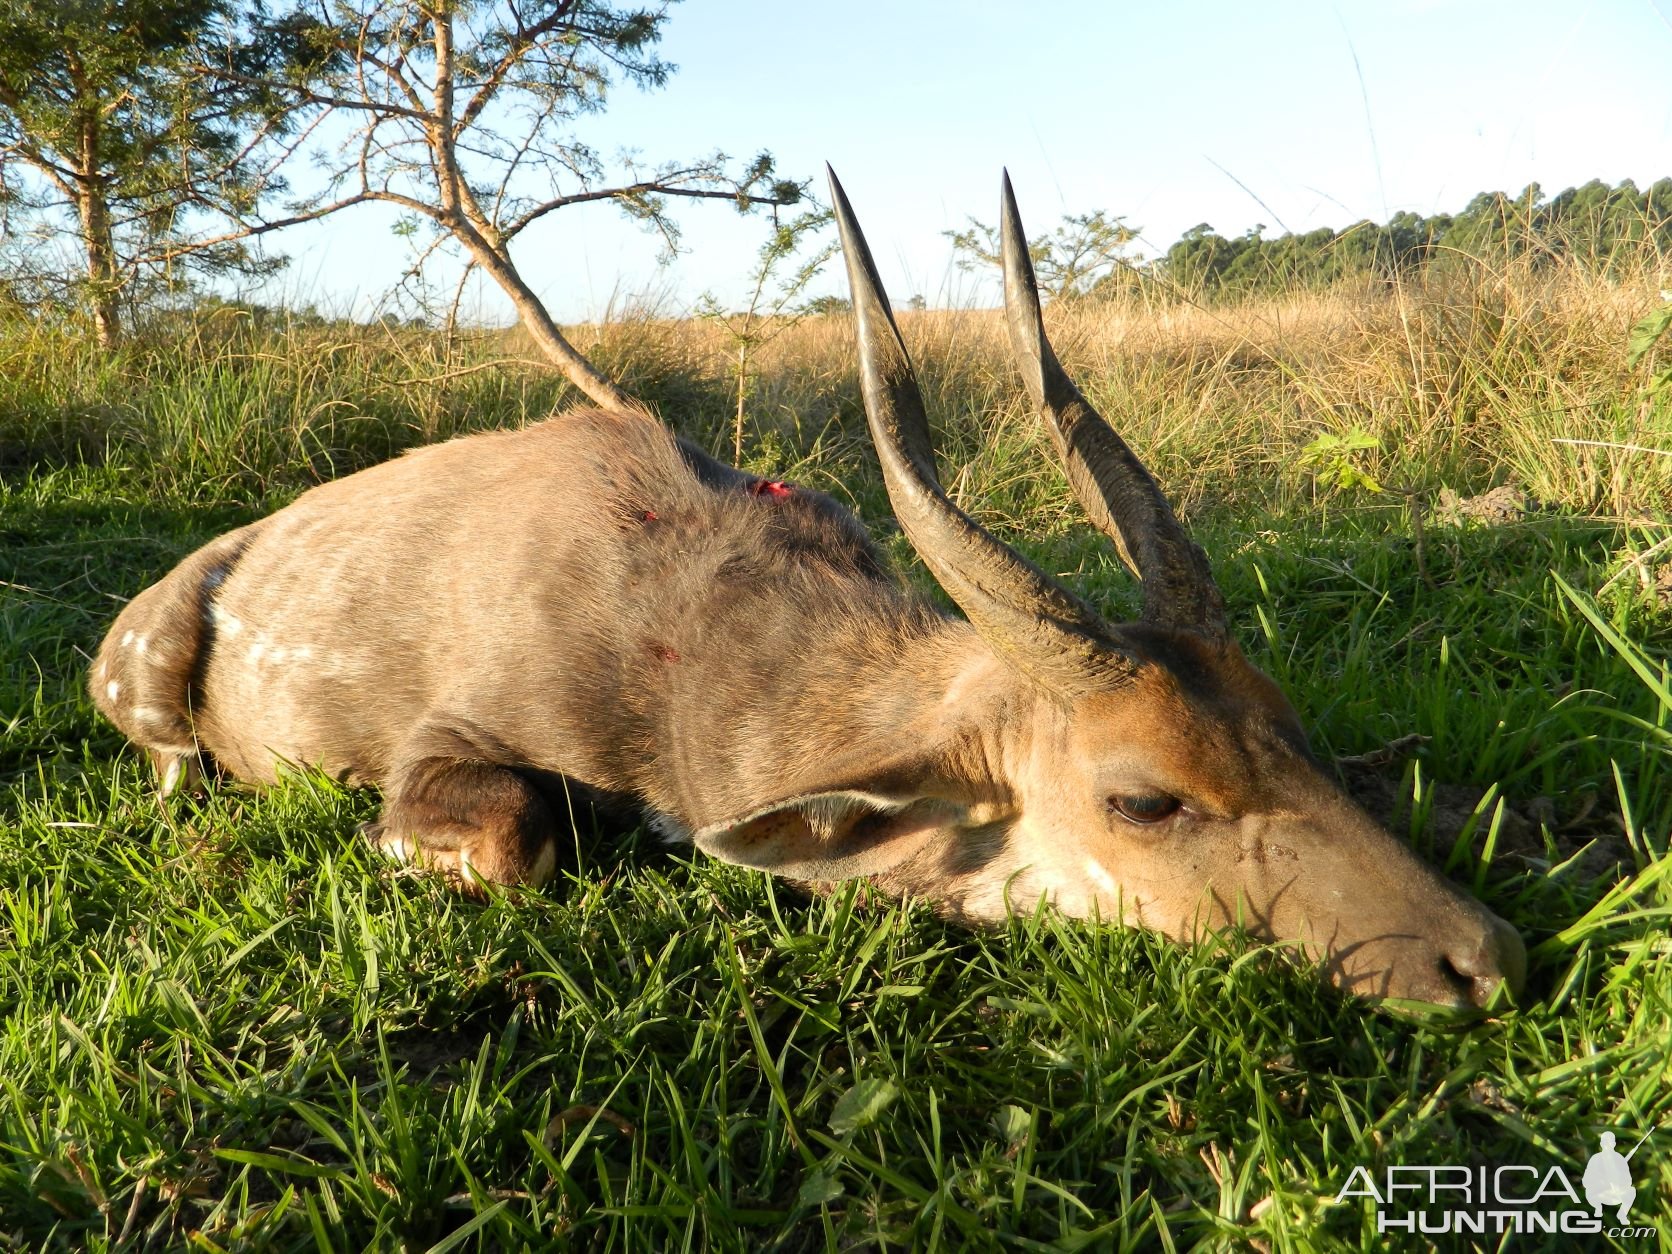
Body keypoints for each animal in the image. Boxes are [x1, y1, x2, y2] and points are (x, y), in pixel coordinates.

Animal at [94, 169, 1531, 1009]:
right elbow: (509, 839)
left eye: (1291, 732)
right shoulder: (449, 746)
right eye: (1143, 798)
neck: (689, 647)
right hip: (146, 683)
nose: (1482, 959)